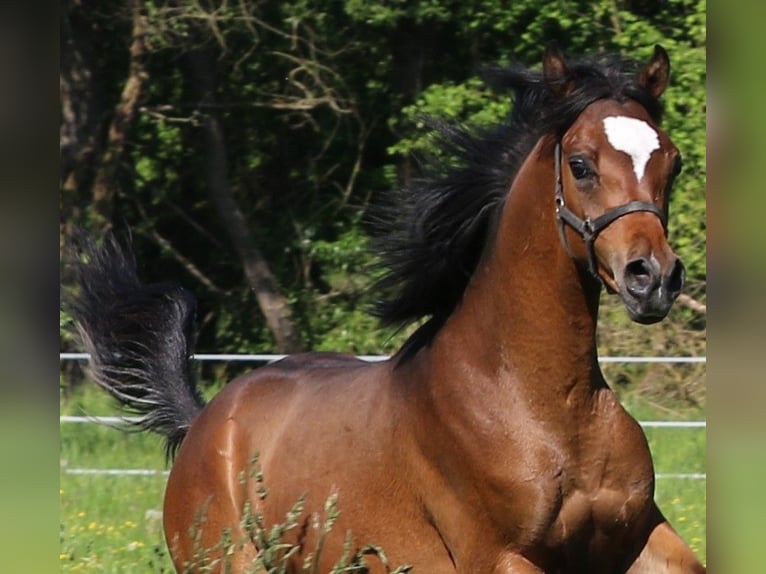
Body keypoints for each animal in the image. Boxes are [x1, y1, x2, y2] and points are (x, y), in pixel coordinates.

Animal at [70, 45, 705, 573]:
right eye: (579, 163)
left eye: (671, 162)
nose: (653, 278)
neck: (549, 403)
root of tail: (203, 422)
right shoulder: (501, 555)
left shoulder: (640, 538)